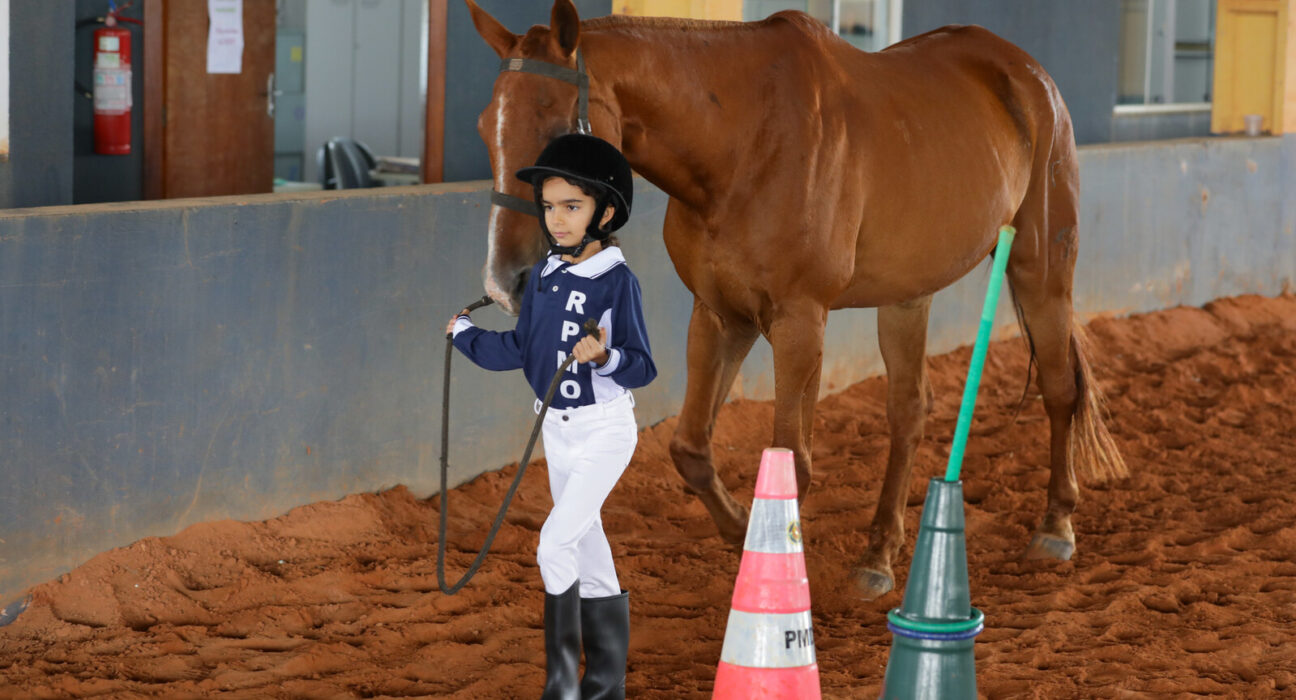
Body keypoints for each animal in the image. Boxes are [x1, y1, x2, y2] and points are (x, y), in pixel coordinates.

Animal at [466, 1, 1124, 601]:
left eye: (559, 131)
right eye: (483, 127)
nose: (505, 283)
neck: (741, 146)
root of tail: (1026, 73)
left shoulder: (799, 321)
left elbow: (793, 463)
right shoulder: (720, 317)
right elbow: (691, 449)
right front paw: (740, 532)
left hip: (1041, 271)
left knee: (1060, 390)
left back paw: (1055, 527)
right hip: (908, 296)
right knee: (909, 411)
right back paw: (879, 556)